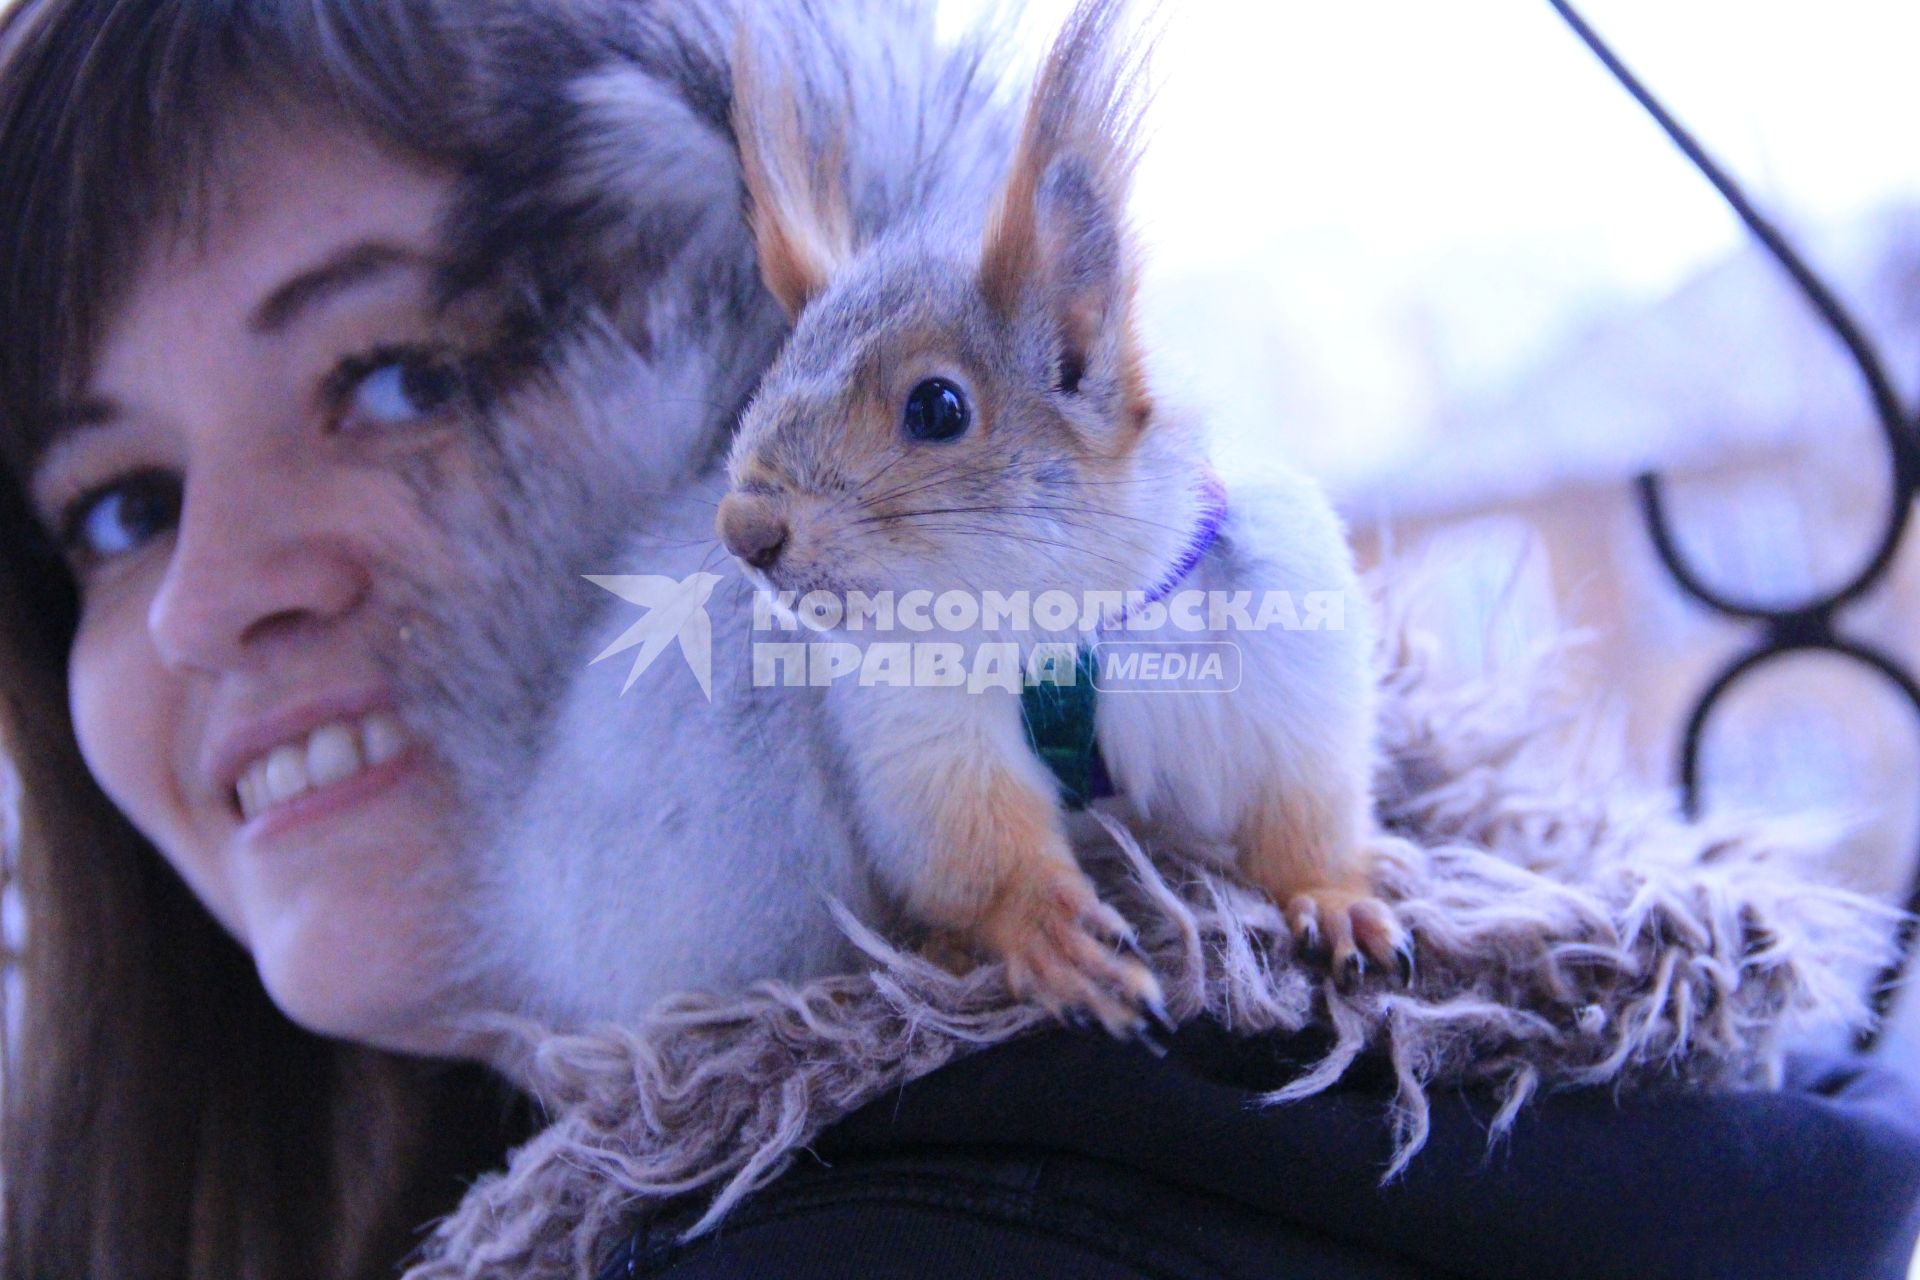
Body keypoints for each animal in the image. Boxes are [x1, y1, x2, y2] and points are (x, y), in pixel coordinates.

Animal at [714, 0, 1405, 1028]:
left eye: (938, 407)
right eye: (773, 369)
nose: (744, 529)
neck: (1062, 613)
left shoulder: (1291, 670)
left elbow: (1300, 813)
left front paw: (1335, 898)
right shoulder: (926, 740)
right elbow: (983, 851)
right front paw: (1052, 935)